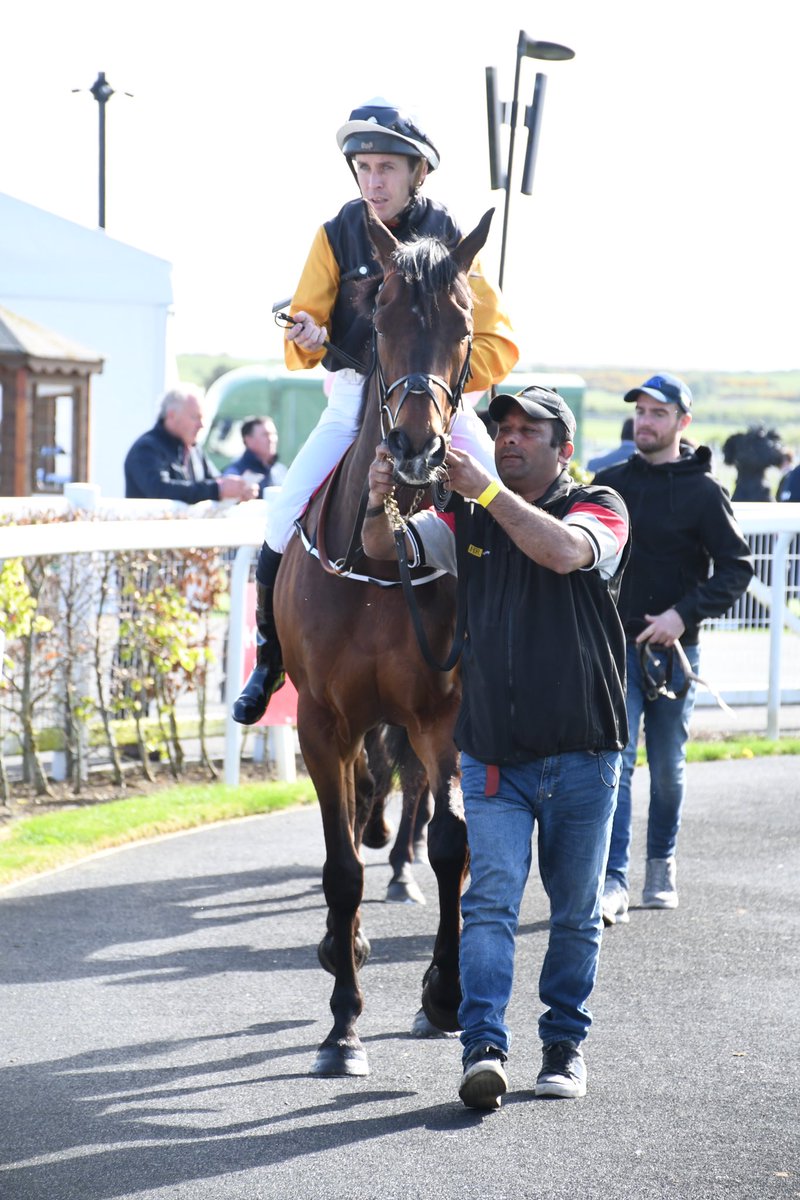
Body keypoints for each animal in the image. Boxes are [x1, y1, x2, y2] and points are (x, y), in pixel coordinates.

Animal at [275, 204, 494, 1080]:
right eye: (380, 318)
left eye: (464, 324)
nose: (414, 447)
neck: (377, 559)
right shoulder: (321, 721)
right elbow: (340, 868)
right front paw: (343, 1026)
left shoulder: (442, 716)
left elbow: (455, 846)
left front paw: (445, 991)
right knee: (363, 803)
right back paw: (347, 949)